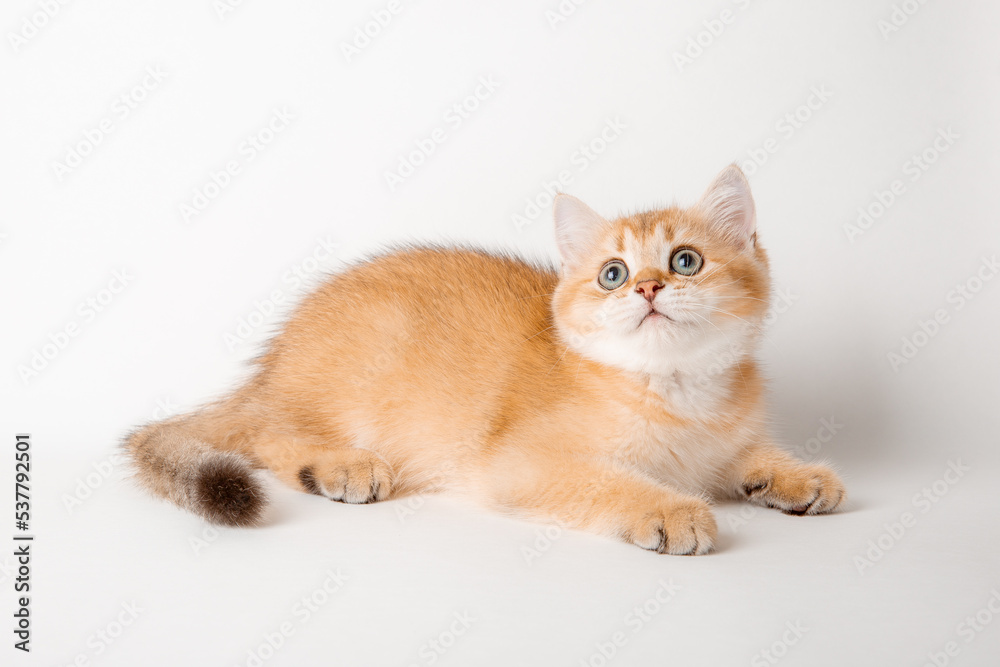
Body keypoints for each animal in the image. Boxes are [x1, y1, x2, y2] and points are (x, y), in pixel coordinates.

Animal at [125, 166, 844, 552]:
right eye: (612, 274)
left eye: (685, 260)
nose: (646, 287)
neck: (677, 392)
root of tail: (271, 363)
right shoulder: (522, 462)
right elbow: (611, 481)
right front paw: (670, 510)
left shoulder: (725, 442)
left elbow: (748, 456)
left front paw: (796, 475)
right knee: (267, 435)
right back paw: (339, 464)